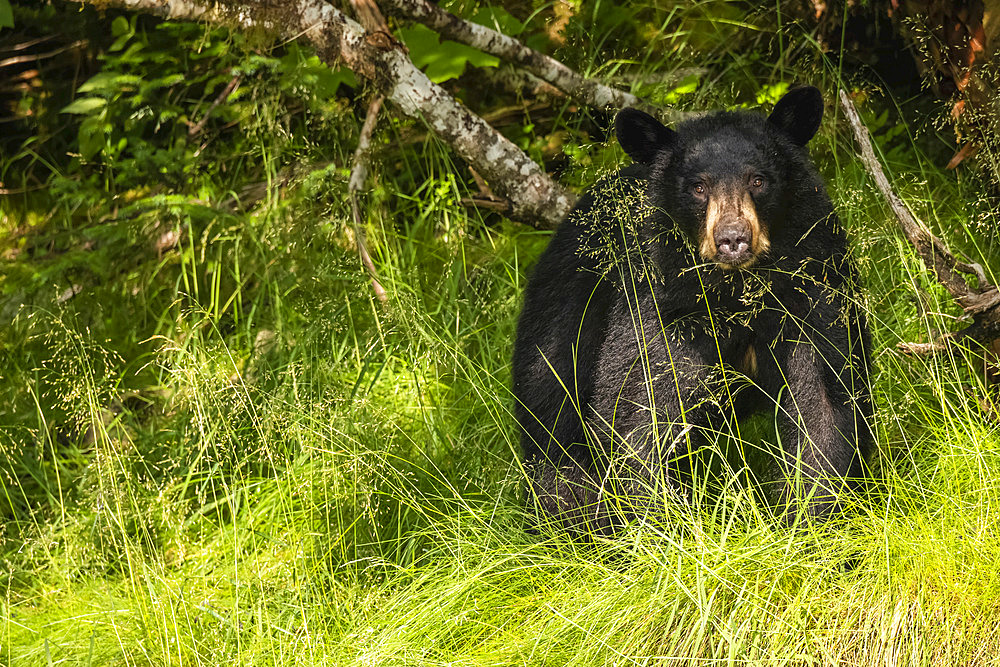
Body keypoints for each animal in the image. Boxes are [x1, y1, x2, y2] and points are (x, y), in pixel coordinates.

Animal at [512, 86, 872, 536]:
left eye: (758, 180)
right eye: (698, 187)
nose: (732, 239)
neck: (735, 292)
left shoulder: (812, 289)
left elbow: (826, 401)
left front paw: (810, 521)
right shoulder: (665, 306)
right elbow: (640, 407)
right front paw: (662, 524)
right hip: (562, 321)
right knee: (553, 423)